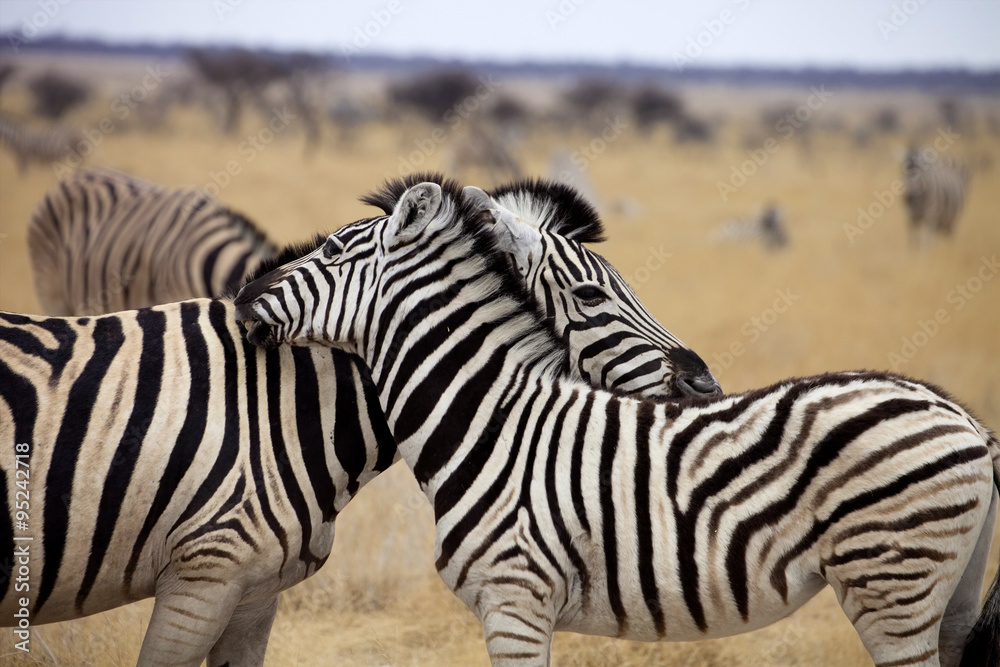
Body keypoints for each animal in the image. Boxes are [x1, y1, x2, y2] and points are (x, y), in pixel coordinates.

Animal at [235, 178, 1000, 667]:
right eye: (590, 290)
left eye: (333, 251)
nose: (242, 295)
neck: (492, 418)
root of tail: (966, 418)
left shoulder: (515, 599)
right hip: (946, 595)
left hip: (891, 581)